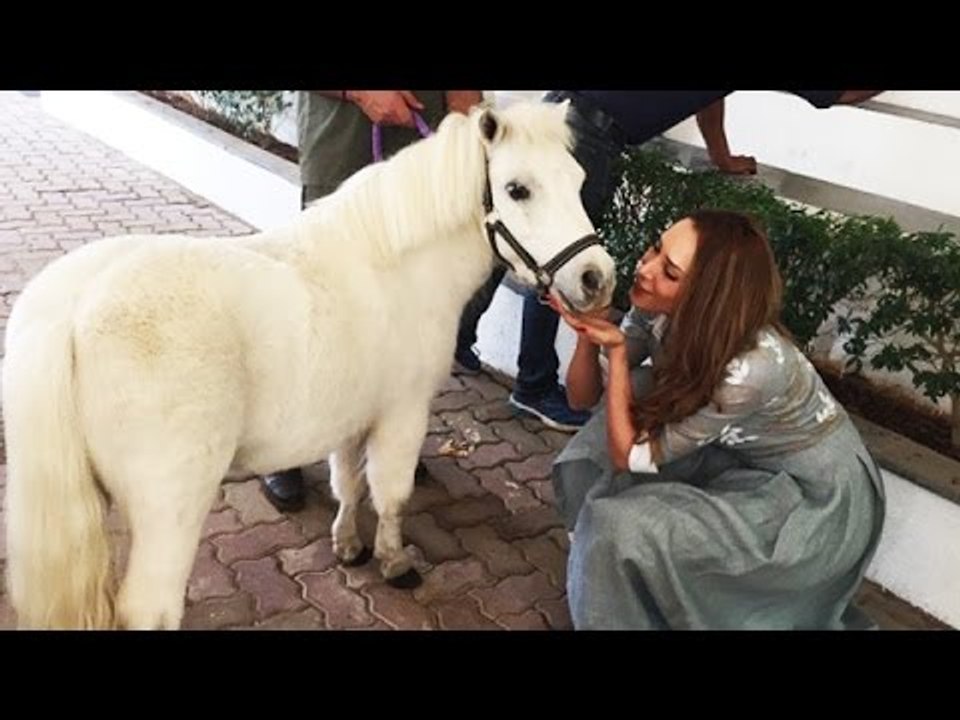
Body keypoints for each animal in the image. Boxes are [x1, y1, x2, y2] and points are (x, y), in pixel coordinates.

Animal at [3, 100, 616, 629]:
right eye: (517, 189)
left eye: (577, 180)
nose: (597, 278)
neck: (394, 265)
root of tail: (74, 309)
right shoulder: (403, 413)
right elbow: (391, 492)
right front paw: (395, 562)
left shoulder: (350, 416)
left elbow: (349, 483)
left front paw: (348, 546)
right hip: (169, 511)